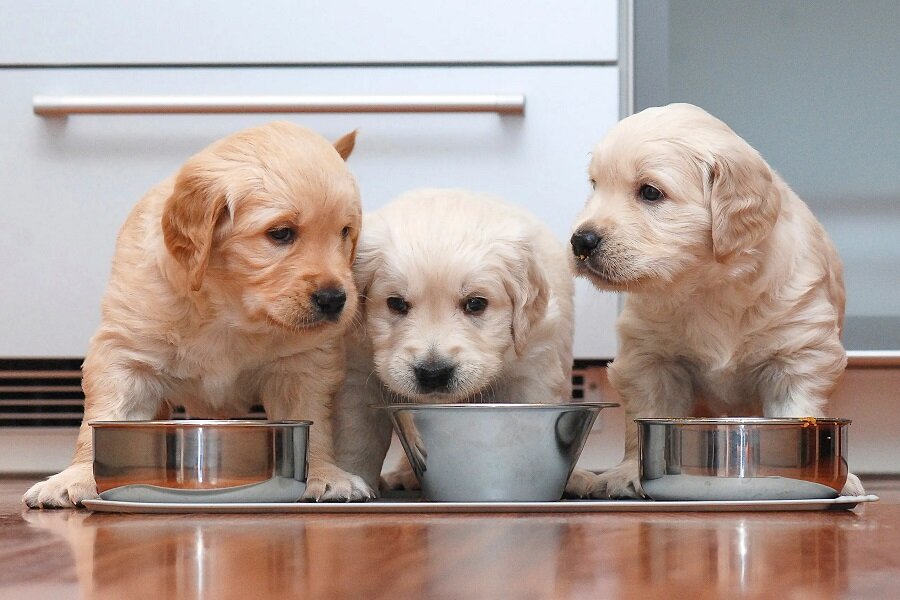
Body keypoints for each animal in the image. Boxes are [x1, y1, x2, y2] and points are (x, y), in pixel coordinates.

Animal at [25, 120, 372, 506]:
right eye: (281, 233)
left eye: (345, 231)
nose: (335, 299)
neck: (229, 310)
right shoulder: (125, 355)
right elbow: (102, 418)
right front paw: (76, 477)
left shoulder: (303, 363)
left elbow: (312, 420)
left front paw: (325, 474)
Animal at [334, 188, 588, 492]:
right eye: (395, 303)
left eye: (476, 304)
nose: (433, 373)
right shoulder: (357, 373)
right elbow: (357, 440)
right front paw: (349, 481)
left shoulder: (532, 366)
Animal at [568, 103, 864, 496]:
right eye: (595, 186)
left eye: (650, 192)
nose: (580, 241)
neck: (707, 286)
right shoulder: (650, 358)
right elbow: (643, 417)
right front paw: (629, 472)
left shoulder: (799, 353)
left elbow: (796, 408)